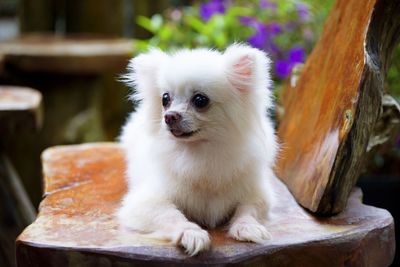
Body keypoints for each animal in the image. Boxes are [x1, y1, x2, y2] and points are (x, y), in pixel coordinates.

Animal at [119, 44, 278, 258]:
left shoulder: (257, 194)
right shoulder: (144, 202)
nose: (169, 116)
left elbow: (248, 209)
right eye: (165, 99)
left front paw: (247, 227)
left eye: (200, 100)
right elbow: (171, 215)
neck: (199, 151)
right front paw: (191, 233)